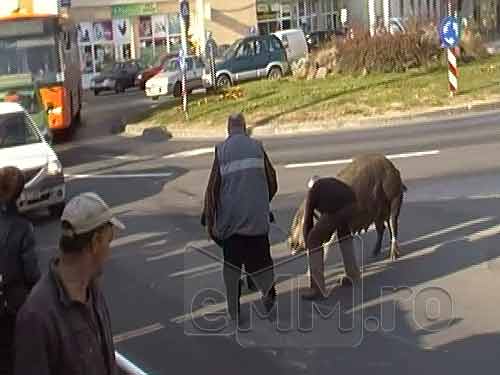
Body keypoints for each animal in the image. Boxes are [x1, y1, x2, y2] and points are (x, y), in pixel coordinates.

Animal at [290, 154, 406, 302]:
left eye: (298, 222)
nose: (290, 243)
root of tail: (394, 169)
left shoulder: (334, 218)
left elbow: (321, 241)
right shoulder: (341, 223)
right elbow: (342, 240)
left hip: (394, 198)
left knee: (393, 223)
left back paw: (393, 257)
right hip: (378, 212)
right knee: (383, 228)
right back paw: (374, 253)